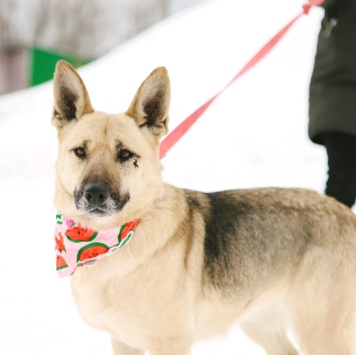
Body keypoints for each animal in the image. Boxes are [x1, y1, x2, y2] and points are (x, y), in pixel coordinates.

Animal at [52, 59, 356, 354]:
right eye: (80, 151)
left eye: (125, 154)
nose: (95, 194)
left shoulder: (171, 343)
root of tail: (346, 214)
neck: (108, 241)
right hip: (261, 325)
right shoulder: (124, 341)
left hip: (320, 334)